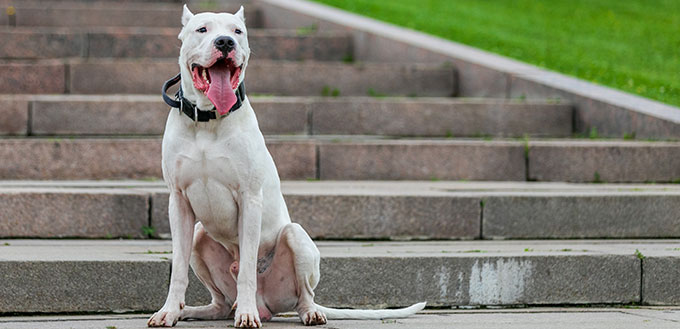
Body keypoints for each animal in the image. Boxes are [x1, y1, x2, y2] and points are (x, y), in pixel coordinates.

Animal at [149, 5, 424, 326]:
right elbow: (178, 269)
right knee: (219, 302)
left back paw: (301, 312)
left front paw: (245, 316)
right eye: (202, 29)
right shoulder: (179, 202)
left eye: (237, 31)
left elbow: (246, 270)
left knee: (304, 293)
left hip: (296, 238)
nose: (225, 42)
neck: (208, 120)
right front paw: (169, 311)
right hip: (198, 236)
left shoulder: (250, 199)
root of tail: (266, 304)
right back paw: (195, 311)